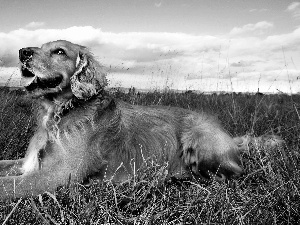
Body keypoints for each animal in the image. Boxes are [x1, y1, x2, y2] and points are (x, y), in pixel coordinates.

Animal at [0, 39, 241, 200]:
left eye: (59, 51)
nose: (22, 52)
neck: (60, 113)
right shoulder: (30, 163)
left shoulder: (58, 174)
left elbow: (6, 186)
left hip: (199, 140)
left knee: (228, 175)